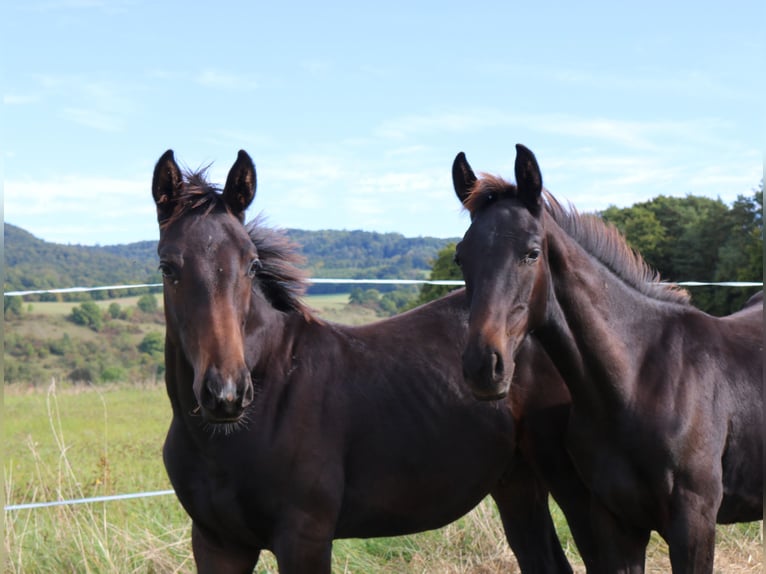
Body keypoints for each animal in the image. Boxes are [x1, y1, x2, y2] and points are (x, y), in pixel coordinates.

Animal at [152, 149, 577, 573]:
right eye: (167, 267)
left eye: (252, 265)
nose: (226, 394)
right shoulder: (217, 543)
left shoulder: (304, 538)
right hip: (516, 481)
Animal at [451, 144, 764, 573]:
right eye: (461, 258)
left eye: (532, 253)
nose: (484, 367)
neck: (635, 381)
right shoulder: (615, 525)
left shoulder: (695, 523)